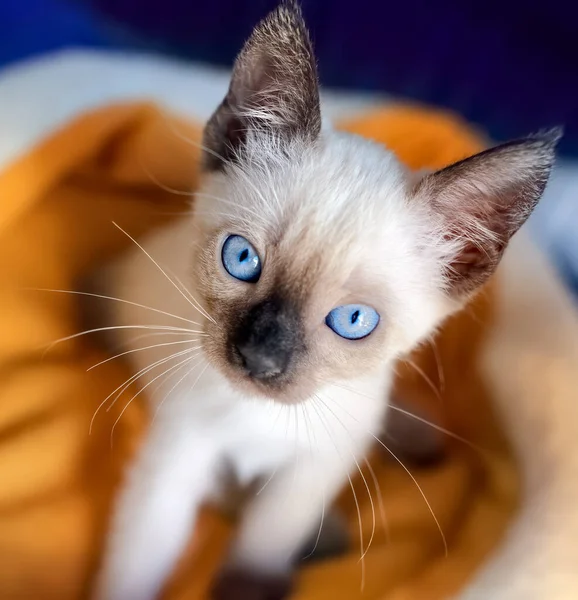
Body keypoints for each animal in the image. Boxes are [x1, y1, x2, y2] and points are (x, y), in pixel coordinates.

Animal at [92, 2, 556, 596]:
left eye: (353, 320)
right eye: (241, 259)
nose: (259, 358)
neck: (260, 419)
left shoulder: (314, 467)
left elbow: (267, 538)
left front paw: (250, 584)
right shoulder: (177, 455)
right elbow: (141, 563)